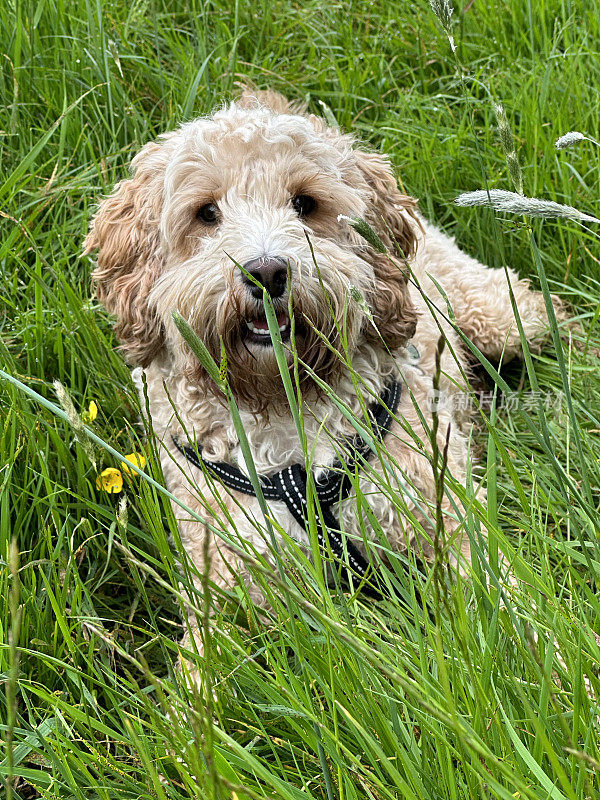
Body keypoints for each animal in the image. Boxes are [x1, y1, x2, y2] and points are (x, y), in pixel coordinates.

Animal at [85, 89, 564, 668]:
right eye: (207, 213)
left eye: (305, 204)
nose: (266, 272)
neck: (282, 407)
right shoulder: (226, 580)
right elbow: (204, 672)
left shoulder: (448, 521)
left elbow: (518, 612)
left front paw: (562, 670)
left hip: (499, 315)